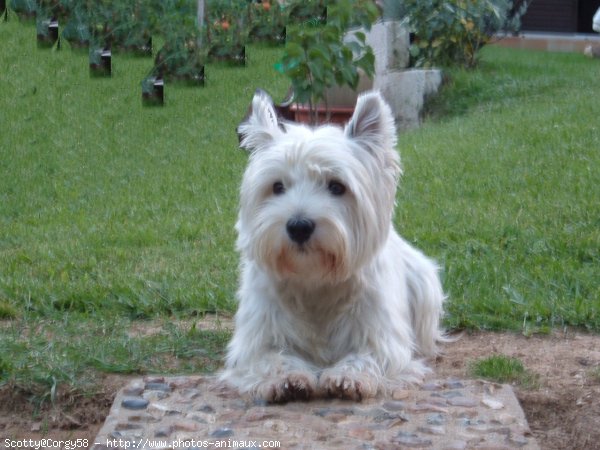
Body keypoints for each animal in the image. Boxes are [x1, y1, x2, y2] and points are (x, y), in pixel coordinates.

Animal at [220, 89, 446, 402]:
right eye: (277, 186)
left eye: (337, 186)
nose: (299, 226)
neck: (315, 280)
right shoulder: (256, 342)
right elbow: (272, 358)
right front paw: (288, 379)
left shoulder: (381, 338)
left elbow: (366, 356)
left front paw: (346, 377)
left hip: (425, 285)